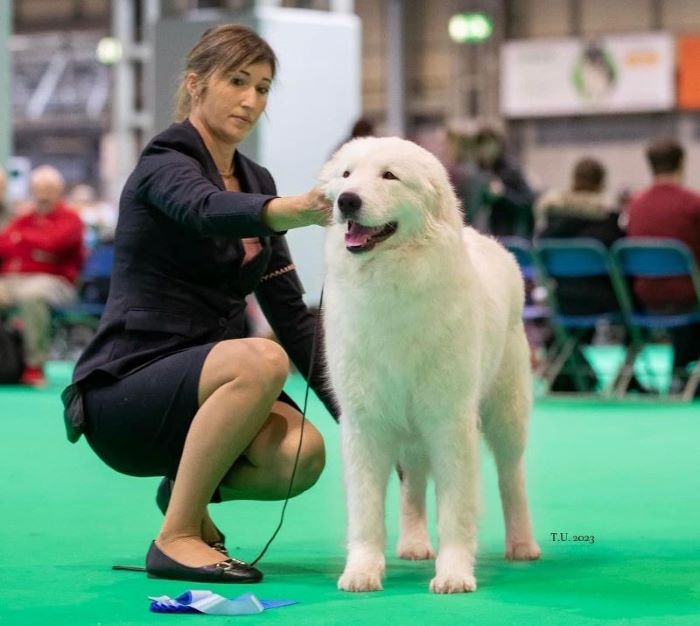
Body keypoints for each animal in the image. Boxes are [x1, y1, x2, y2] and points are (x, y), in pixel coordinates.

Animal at [322, 135, 540, 588]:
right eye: (346, 175)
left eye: (389, 176)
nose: (347, 200)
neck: (390, 283)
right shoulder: (366, 423)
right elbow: (366, 511)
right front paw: (362, 570)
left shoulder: (449, 421)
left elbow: (456, 509)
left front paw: (454, 573)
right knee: (414, 482)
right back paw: (413, 543)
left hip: (506, 414)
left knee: (511, 477)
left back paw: (522, 544)